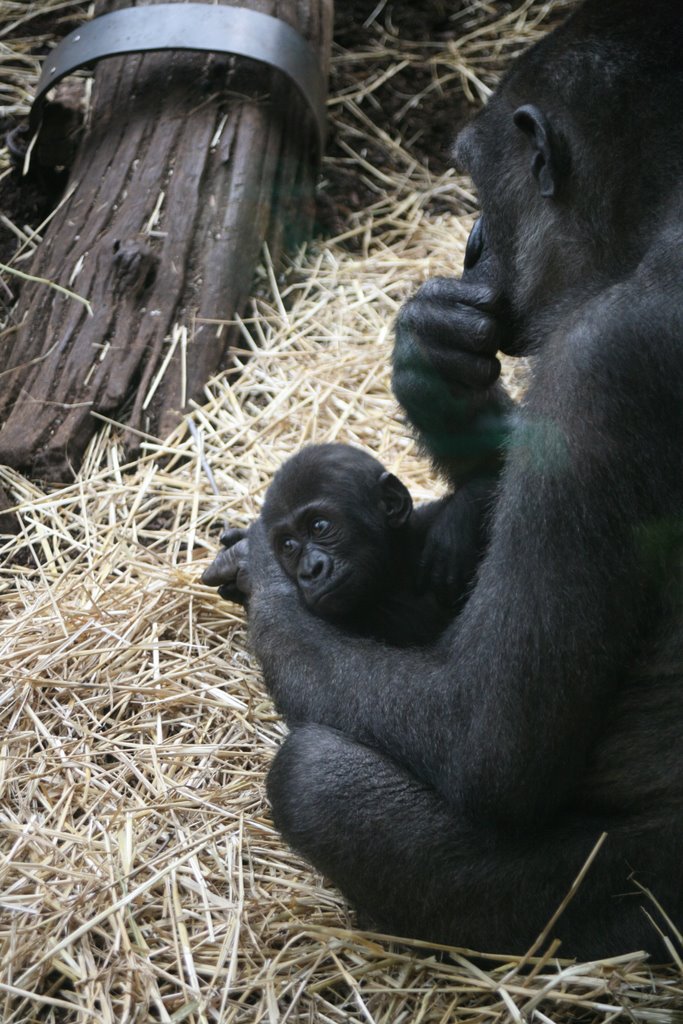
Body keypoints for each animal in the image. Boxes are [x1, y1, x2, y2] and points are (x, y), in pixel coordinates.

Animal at [244, 2, 679, 958]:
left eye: (486, 186)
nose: (474, 245)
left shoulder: (602, 363)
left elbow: (490, 743)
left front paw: (260, 576)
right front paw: (433, 361)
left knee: (316, 773)